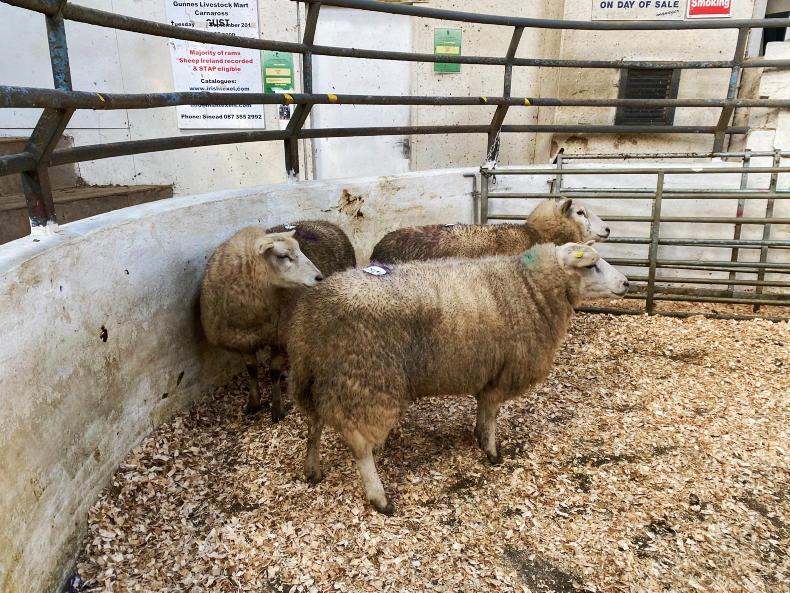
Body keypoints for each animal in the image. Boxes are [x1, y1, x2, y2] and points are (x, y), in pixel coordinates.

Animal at [200, 221, 356, 422]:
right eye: (283, 256)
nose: (319, 277)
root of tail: (327, 223)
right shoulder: (241, 339)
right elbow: (251, 370)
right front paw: (254, 402)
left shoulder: (281, 336)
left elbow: (274, 372)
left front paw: (277, 408)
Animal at [288, 242, 629, 514]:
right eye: (592, 265)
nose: (626, 283)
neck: (530, 287)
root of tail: (315, 312)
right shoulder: (501, 375)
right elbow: (491, 417)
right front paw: (492, 453)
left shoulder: (489, 375)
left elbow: (483, 411)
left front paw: (479, 438)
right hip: (367, 382)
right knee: (360, 448)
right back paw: (379, 498)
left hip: (314, 380)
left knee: (314, 426)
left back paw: (312, 470)